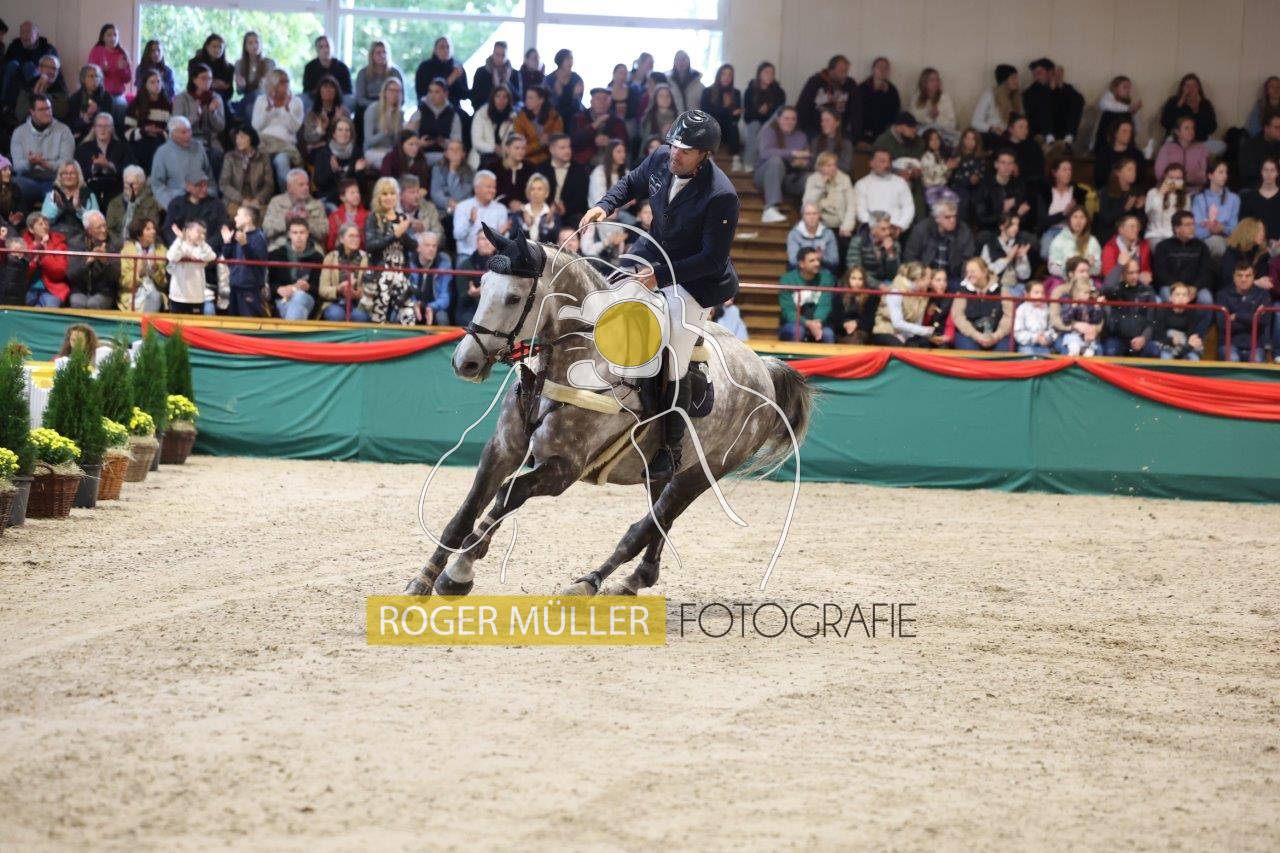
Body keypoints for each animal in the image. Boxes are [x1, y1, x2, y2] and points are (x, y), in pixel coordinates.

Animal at [403, 227, 814, 598]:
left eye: (513, 297)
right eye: (482, 284)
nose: (465, 362)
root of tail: (763, 367)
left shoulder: (563, 470)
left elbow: (507, 496)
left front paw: (459, 571)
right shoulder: (503, 448)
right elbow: (465, 514)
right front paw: (423, 579)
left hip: (700, 475)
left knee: (648, 525)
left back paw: (589, 582)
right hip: (664, 472)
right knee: (659, 521)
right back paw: (635, 580)